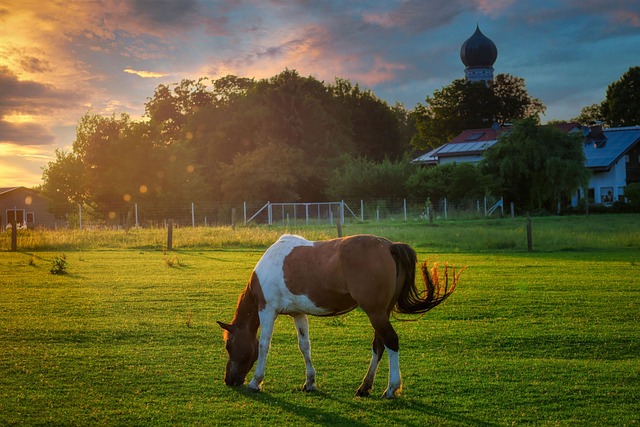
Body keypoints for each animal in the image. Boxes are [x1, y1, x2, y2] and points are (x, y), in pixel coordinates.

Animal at [219, 234, 460, 398]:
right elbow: (304, 346)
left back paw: (391, 388)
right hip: (381, 313)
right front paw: (310, 382)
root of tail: (390, 246)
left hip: (375, 313)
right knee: (379, 345)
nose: (229, 380)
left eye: (229, 345)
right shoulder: (298, 313)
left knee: (391, 342)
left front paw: (256, 382)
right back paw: (365, 387)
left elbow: (264, 345)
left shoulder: (267, 310)